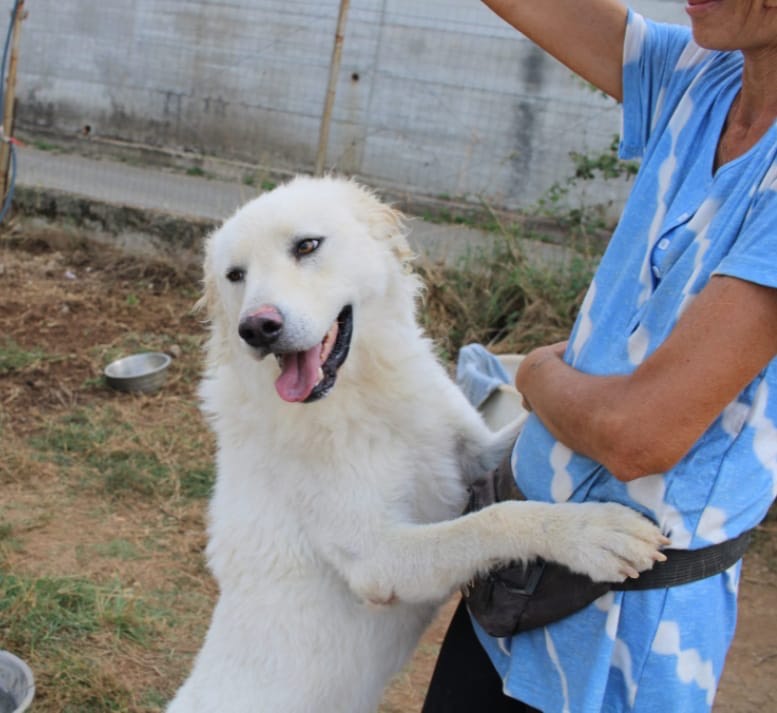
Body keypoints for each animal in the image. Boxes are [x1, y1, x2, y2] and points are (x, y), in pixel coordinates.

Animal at [167, 177, 664, 712]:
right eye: (235, 275)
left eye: (306, 246)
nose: (257, 328)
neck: (364, 398)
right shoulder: (380, 560)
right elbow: (494, 519)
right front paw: (590, 532)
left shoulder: (473, 454)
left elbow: (512, 439)